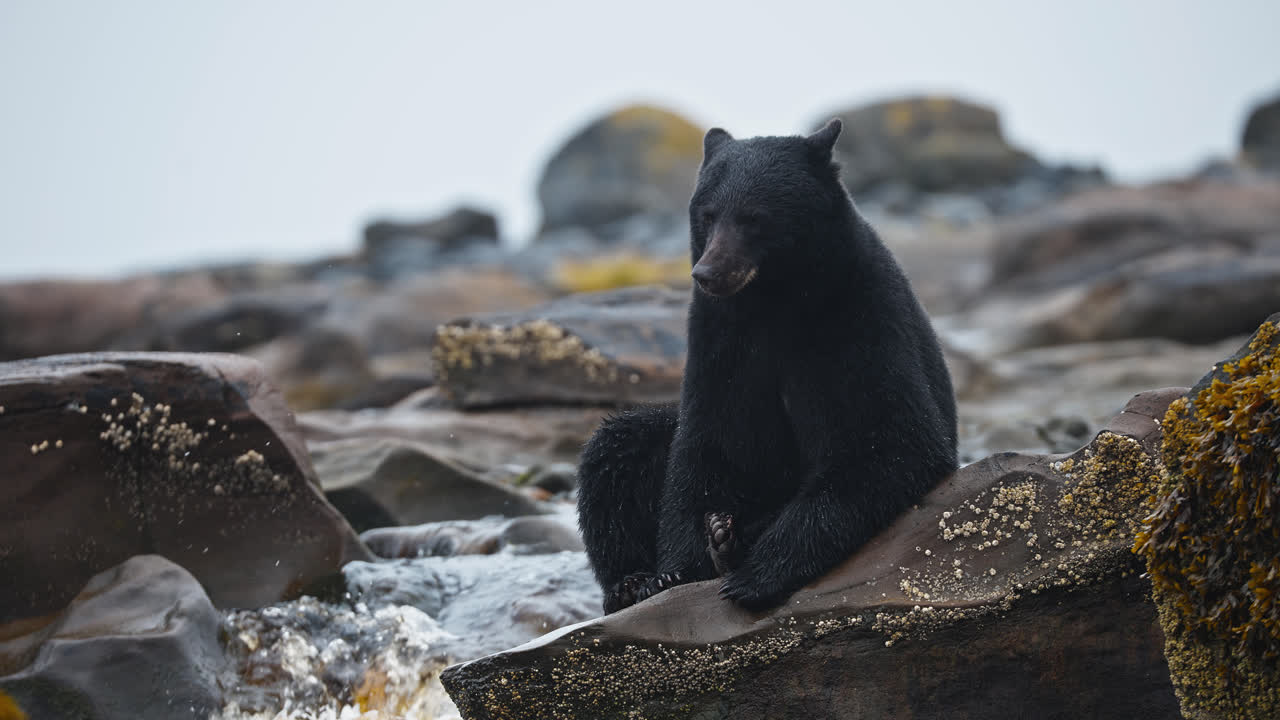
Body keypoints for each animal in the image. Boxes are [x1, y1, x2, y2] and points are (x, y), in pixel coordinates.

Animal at [577, 119, 958, 614]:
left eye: (753, 217)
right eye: (708, 214)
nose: (707, 272)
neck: (775, 300)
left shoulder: (860, 315)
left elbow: (890, 440)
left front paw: (754, 575)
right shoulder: (720, 338)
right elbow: (704, 445)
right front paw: (675, 572)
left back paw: (732, 541)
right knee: (616, 449)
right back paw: (631, 581)